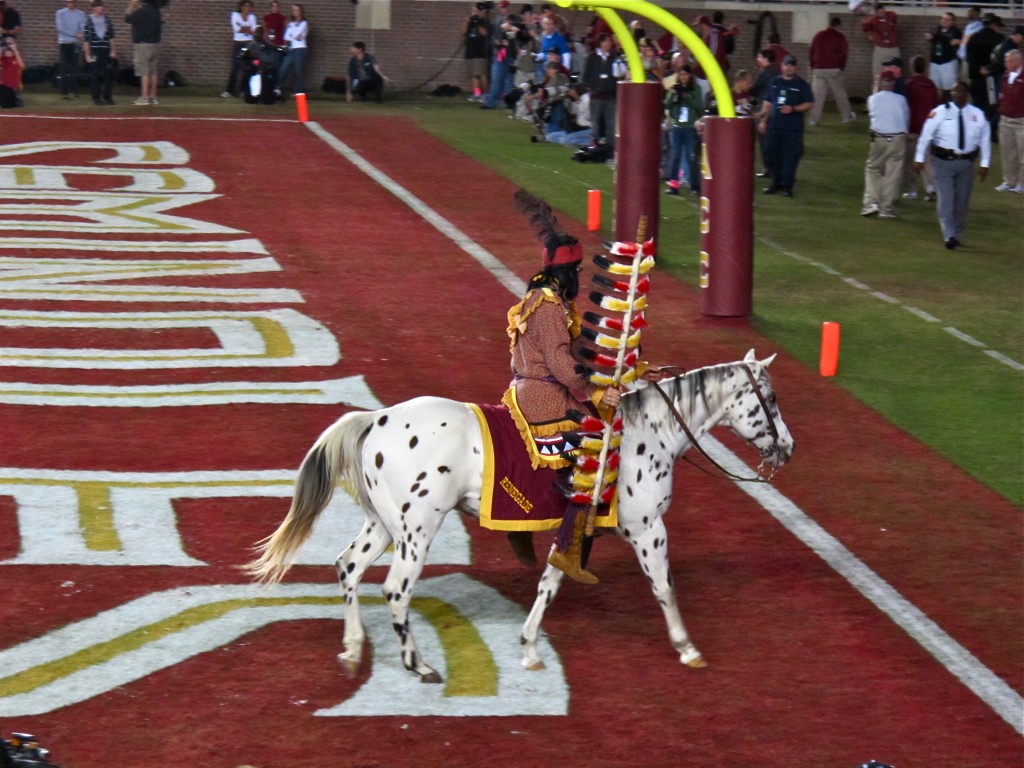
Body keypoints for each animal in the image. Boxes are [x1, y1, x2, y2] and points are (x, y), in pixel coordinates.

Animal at [247, 352, 790, 684]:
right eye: (771, 399)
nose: (787, 447)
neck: (647, 433)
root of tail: (376, 420)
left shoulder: (575, 533)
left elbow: (550, 584)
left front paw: (529, 647)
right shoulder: (647, 530)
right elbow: (664, 587)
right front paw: (687, 647)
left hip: (382, 526)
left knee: (348, 568)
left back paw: (353, 649)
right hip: (416, 531)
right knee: (396, 590)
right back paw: (417, 664)